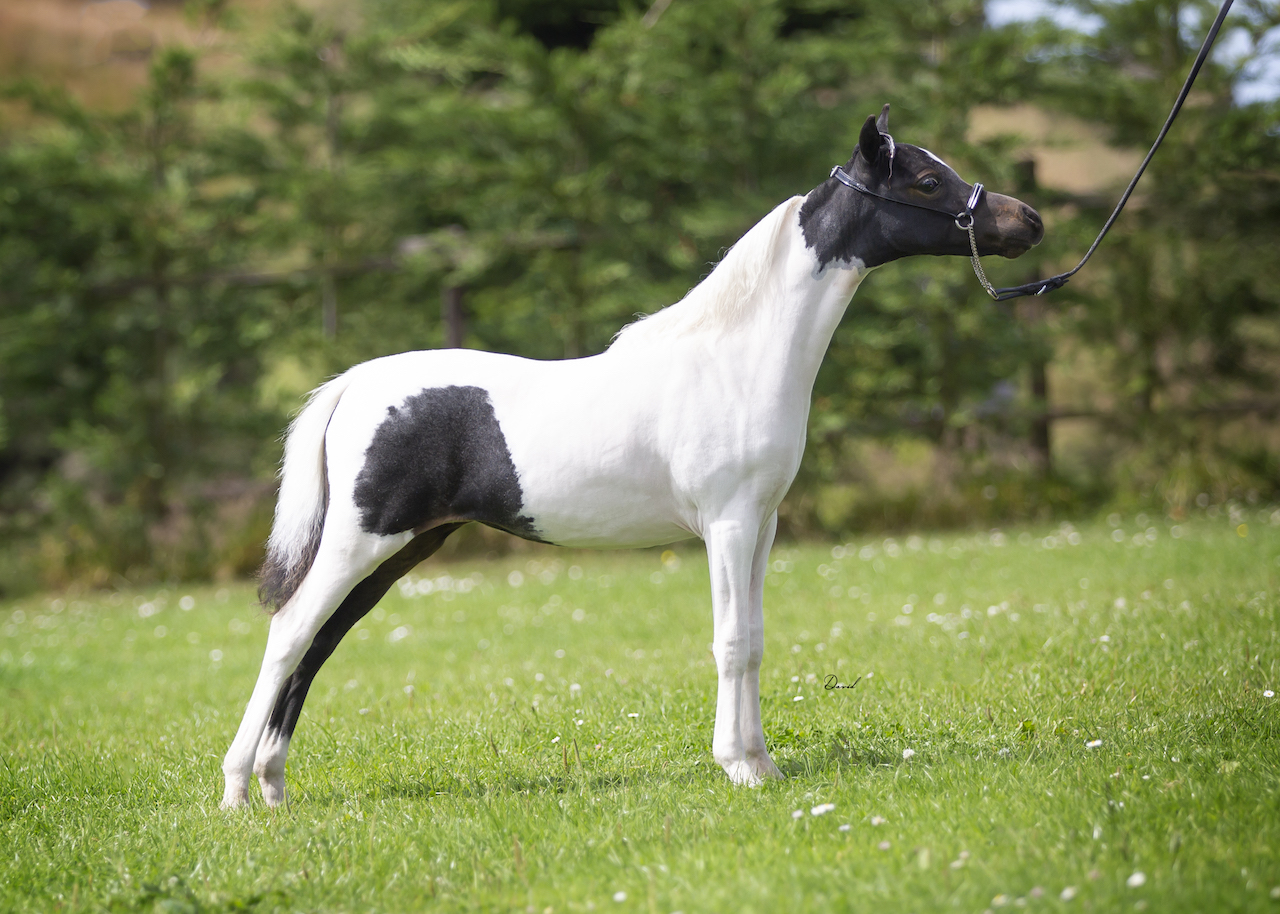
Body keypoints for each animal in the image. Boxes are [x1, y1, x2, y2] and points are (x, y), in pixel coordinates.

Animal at [220, 105, 1043, 808]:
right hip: (360, 541)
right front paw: (738, 767)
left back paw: (274, 785)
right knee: (289, 635)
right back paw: (235, 791)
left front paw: (763, 763)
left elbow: (756, 640)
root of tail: (356, 383)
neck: (738, 357)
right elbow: (731, 642)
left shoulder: (763, 527)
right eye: (927, 180)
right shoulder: (728, 525)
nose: (1027, 221)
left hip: (400, 549)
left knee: (318, 644)